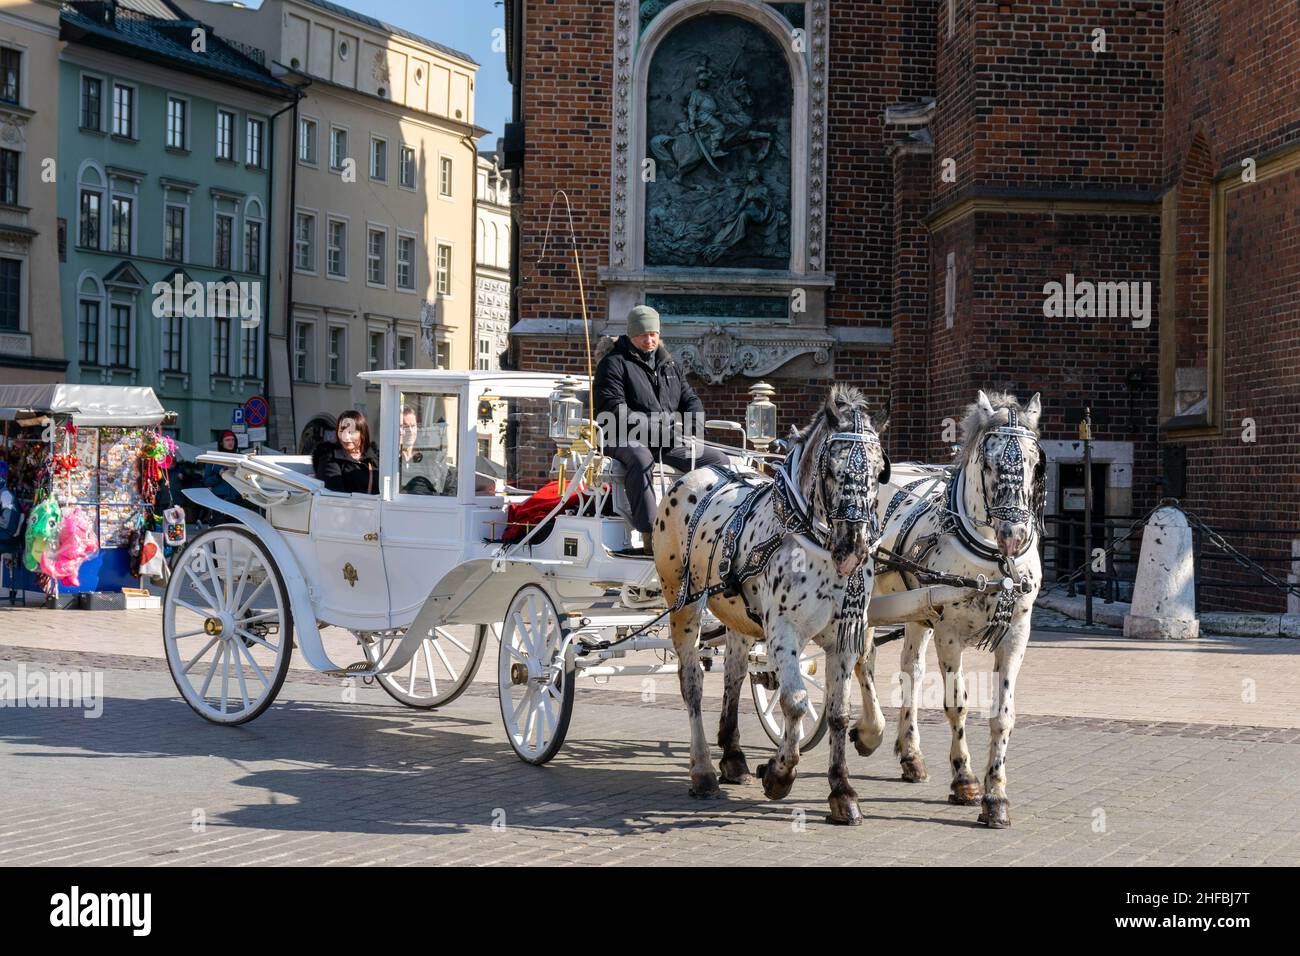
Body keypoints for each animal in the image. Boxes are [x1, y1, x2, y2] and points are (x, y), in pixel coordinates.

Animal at [655, 385, 889, 827]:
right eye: (832, 469)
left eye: (880, 470)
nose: (853, 547)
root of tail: (692, 476)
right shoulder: (783, 631)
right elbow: (795, 702)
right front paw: (779, 774)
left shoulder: (843, 639)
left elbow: (837, 712)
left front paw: (842, 791)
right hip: (682, 605)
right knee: (692, 682)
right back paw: (703, 771)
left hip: (737, 616)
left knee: (732, 674)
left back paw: (733, 757)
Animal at [852, 392, 1045, 827]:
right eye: (987, 463)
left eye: (1035, 462)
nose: (1014, 535)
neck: (995, 561)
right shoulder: (950, 633)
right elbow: (956, 705)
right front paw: (966, 781)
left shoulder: (1017, 634)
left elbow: (1002, 714)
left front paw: (996, 796)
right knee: (862, 660)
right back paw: (870, 731)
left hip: (915, 611)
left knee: (910, 669)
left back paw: (911, 755)